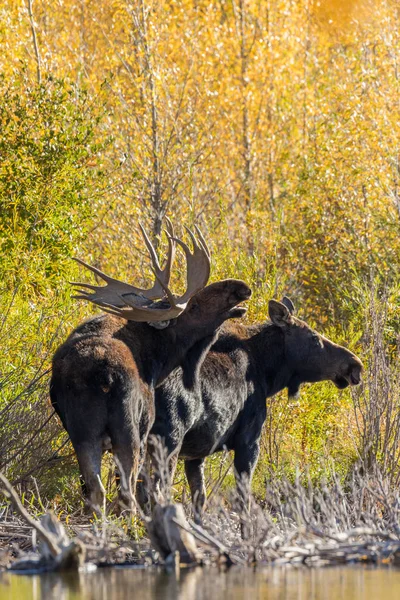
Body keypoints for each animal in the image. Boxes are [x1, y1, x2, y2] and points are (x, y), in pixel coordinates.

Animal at [49, 223, 250, 512]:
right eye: (195, 305)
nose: (240, 287)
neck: (160, 360)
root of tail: (103, 376)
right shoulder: (149, 428)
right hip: (129, 429)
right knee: (126, 493)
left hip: (81, 430)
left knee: (94, 489)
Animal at [150, 296, 362, 516]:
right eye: (313, 337)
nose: (355, 364)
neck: (268, 372)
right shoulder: (249, 440)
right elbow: (243, 500)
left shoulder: (197, 453)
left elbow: (200, 499)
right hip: (169, 439)